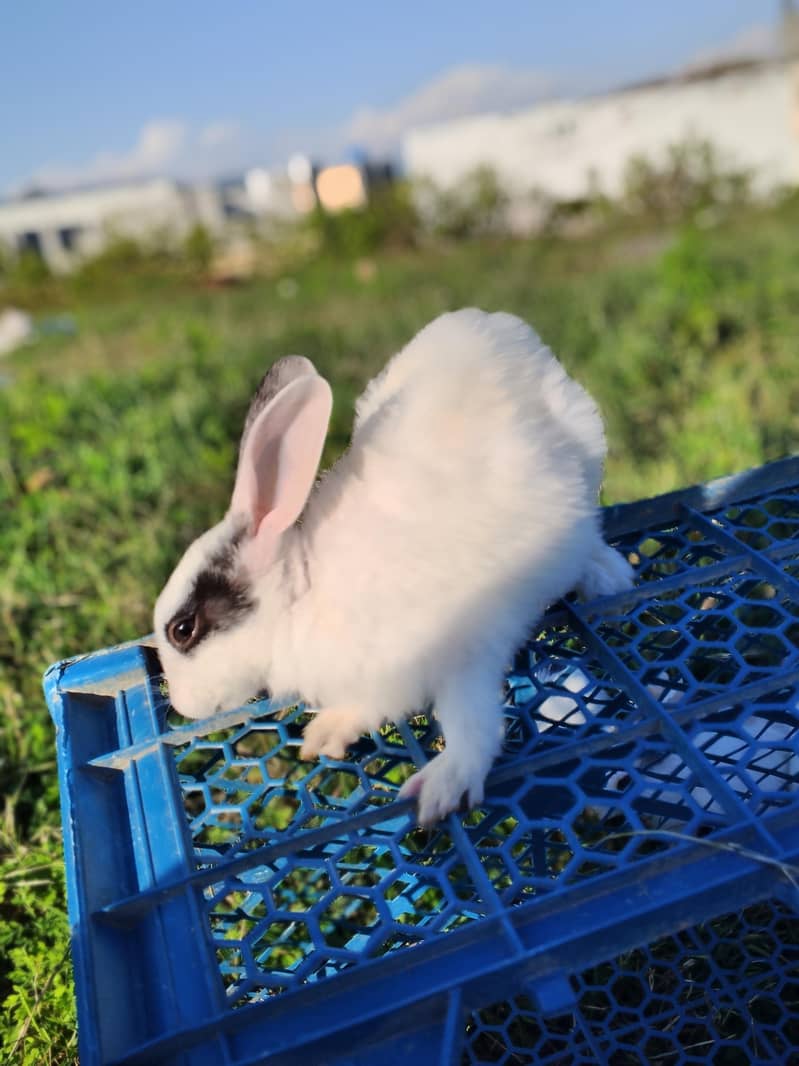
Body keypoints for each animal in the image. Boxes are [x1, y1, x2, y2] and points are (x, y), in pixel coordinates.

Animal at [154, 308, 634, 825]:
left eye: (183, 629)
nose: (181, 705)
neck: (306, 595)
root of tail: (498, 324)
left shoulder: (467, 650)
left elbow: (474, 724)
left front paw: (442, 788)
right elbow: (367, 706)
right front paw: (326, 734)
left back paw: (609, 577)